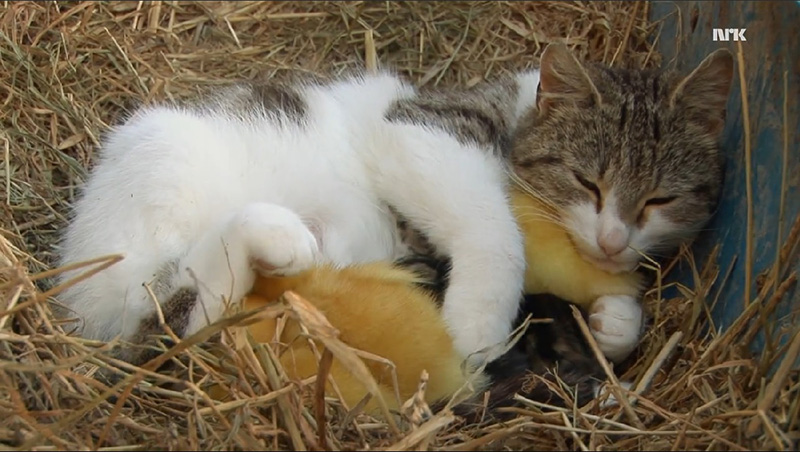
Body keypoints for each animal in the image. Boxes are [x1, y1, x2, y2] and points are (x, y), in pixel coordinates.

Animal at [53, 41, 736, 378]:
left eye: (661, 200)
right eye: (587, 182)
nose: (614, 240)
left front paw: (616, 322)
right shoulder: (418, 126)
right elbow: (493, 227)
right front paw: (479, 324)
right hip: (156, 173)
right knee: (172, 323)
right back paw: (277, 235)